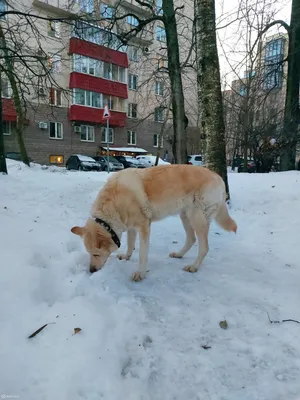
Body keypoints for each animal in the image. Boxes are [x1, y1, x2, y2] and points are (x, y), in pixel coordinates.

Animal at [71, 163, 237, 282]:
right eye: (90, 253)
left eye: (96, 254)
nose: (91, 271)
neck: (113, 203)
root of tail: (218, 177)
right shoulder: (131, 227)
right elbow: (130, 244)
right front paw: (126, 257)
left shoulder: (144, 226)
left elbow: (143, 254)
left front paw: (140, 273)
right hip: (185, 216)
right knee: (191, 239)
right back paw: (179, 254)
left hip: (196, 218)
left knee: (204, 247)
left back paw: (194, 267)